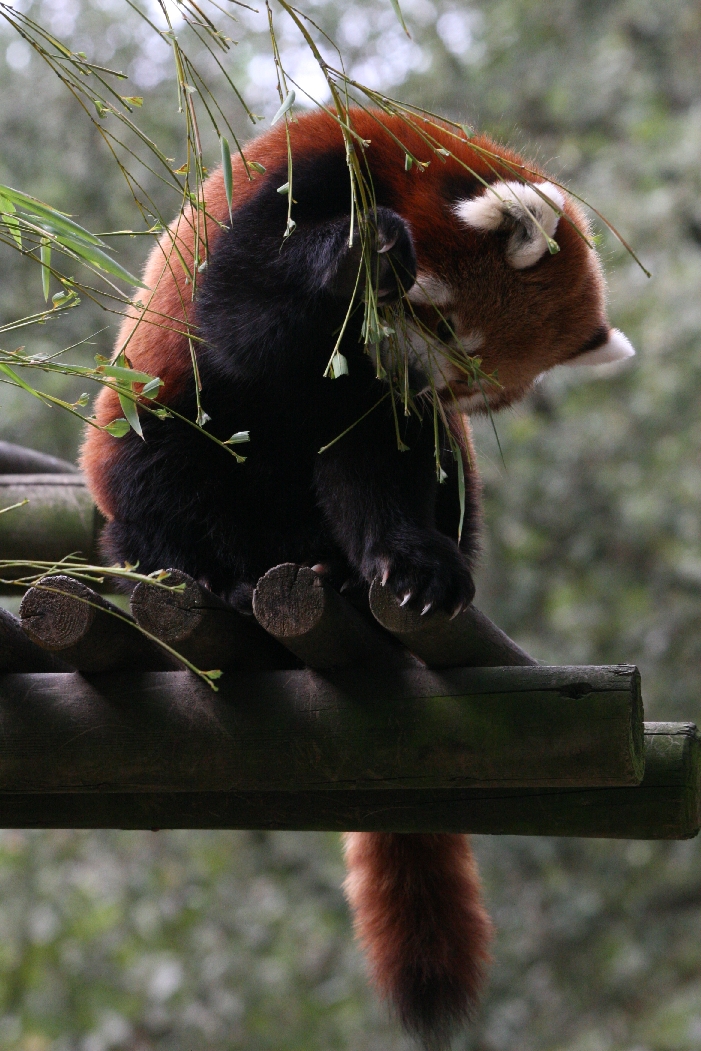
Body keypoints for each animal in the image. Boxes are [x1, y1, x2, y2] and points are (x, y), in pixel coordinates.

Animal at [81, 107, 635, 1049]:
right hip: (142, 431)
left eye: (474, 384)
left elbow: (375, 456)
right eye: (445, 332)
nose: (421, 385)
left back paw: (363, 581)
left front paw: (404, 560)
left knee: (428, 469)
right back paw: (221, 581)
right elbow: (237, 321)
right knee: (168, 452)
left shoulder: (378, 403)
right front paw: (362, 254)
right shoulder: (290, 191)